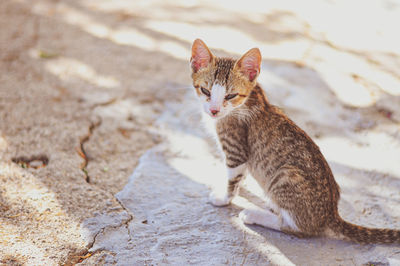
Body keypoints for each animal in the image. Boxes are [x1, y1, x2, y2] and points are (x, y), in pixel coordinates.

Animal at [190, 38, 400, 244]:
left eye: (231, 95)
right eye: (205, 91)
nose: (214, 110)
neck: (247, 99)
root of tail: (331, 214)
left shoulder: (236, 151)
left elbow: (232, 178)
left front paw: (224, 197)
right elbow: (239, 176)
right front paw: (240, 188)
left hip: (285, 175)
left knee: (297, 228)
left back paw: (254, 215)